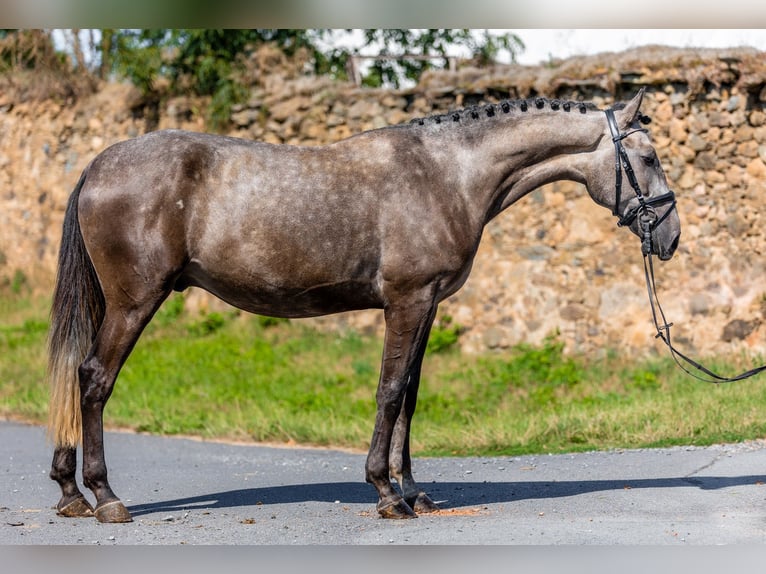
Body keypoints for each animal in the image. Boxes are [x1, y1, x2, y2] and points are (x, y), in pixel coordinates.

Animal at [48, 88, 680, 524]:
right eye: (648, 158)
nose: (671, 237)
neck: (447, 174)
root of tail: (99, 164)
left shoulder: (428, 305)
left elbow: (410, 398)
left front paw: (413, 491)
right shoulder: (406, 301)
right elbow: (390, 390)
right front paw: (384, 492)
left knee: (79, 376)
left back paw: (70, 491)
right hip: (134, 302)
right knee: (95, 378)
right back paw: (105, 497)